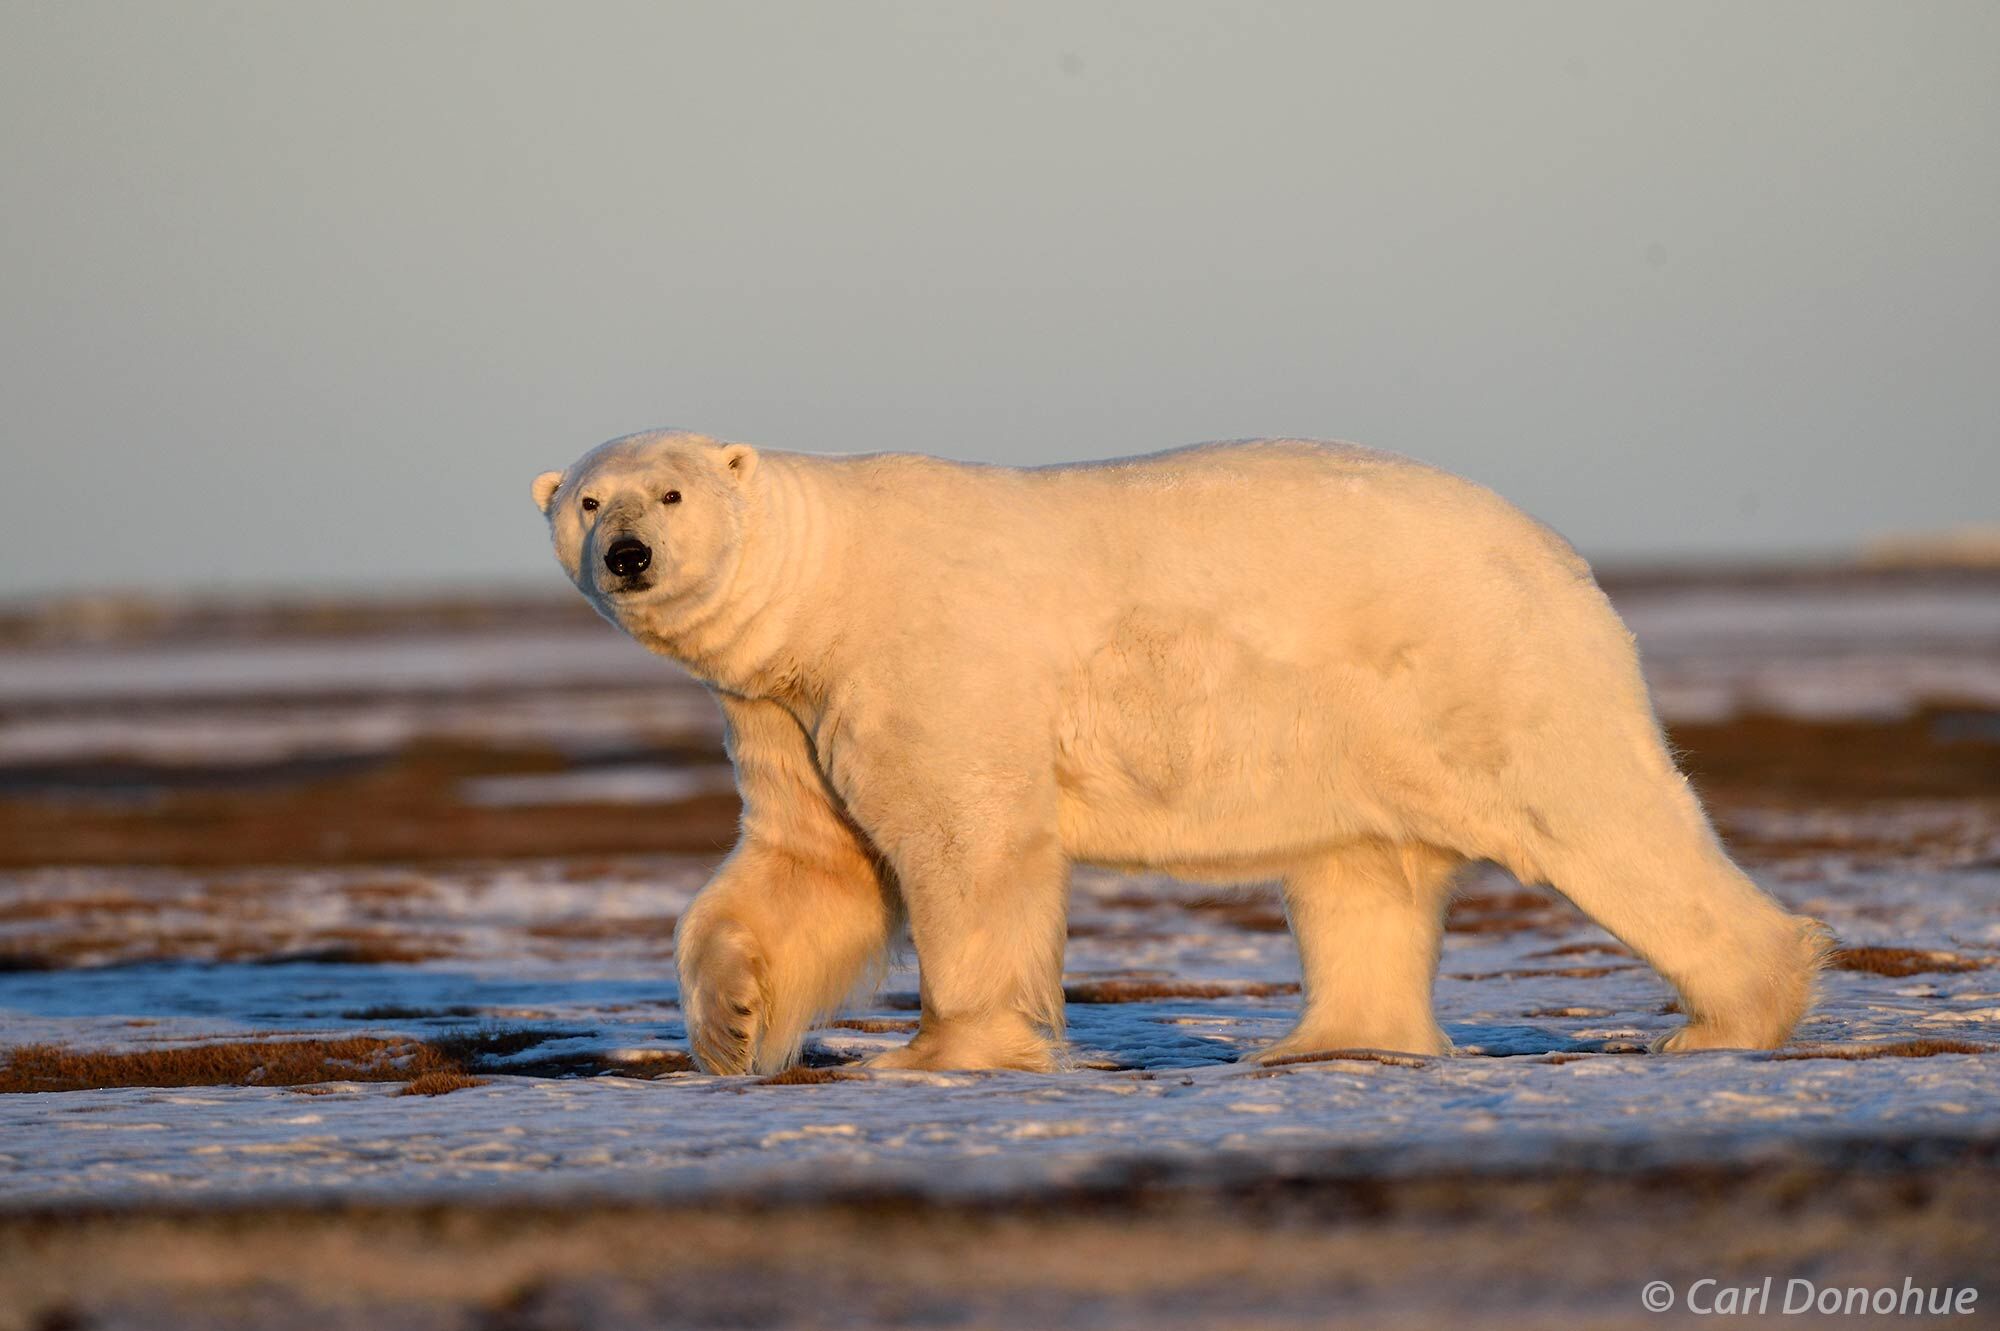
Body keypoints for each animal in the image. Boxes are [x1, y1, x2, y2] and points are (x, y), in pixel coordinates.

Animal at [528, 429, 1832, 1071]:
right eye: (589, 501)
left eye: (671, 493)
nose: (630, 553)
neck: (832, 585)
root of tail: (1556, 552)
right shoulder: (787, 708)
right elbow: (811, 863)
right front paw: (733, 1019)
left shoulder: (924, 659)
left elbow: (966, 843)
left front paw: (943, 1052)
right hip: (1352, 723)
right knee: (1358, 871)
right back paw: (1327, 1039)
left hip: (1479, 666)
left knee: (1599, 815)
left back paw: (1726, 1014)